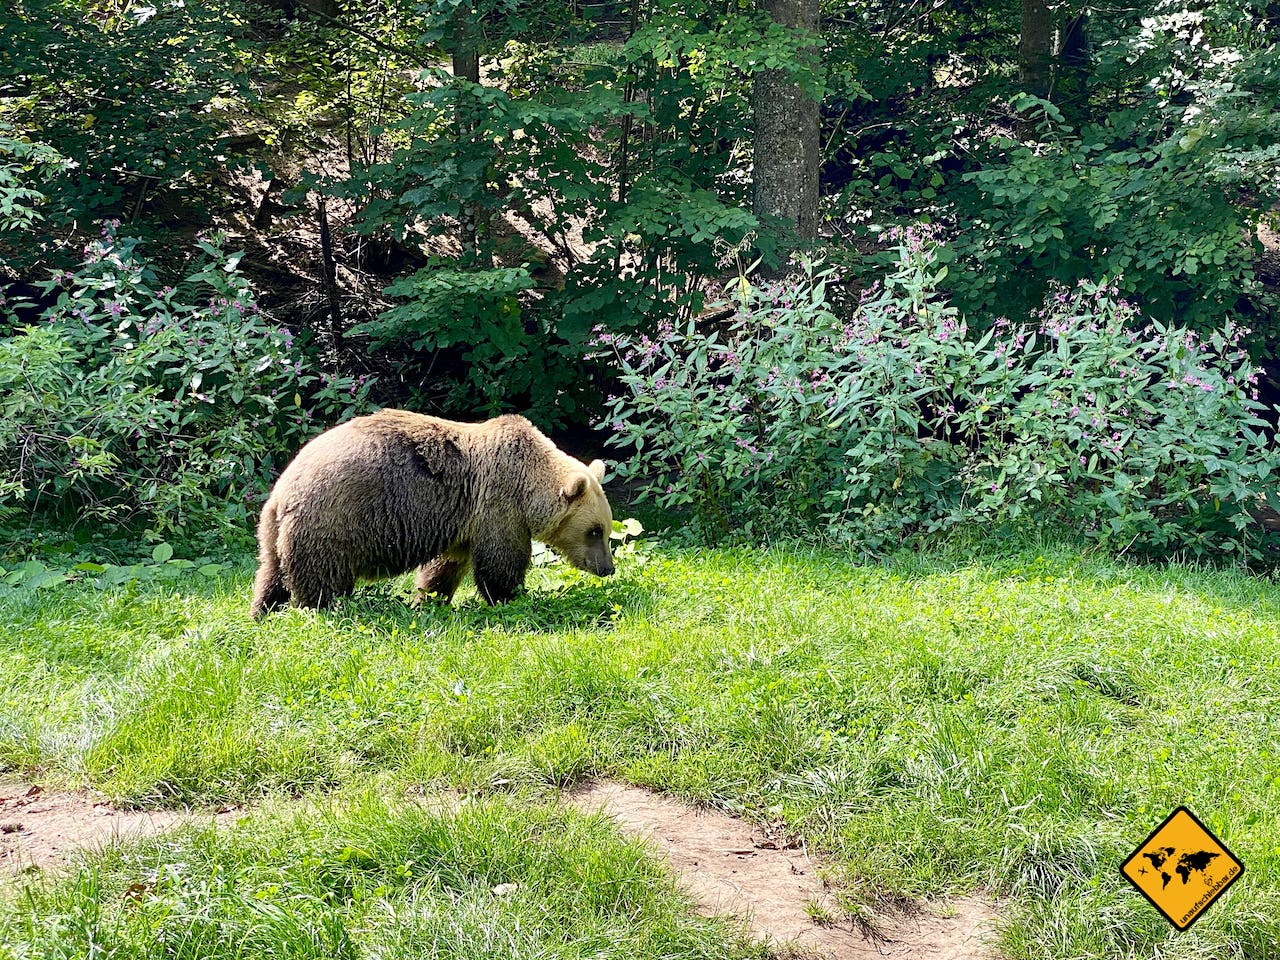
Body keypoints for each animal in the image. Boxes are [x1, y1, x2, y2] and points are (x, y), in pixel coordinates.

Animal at [248, 407, 614, 616]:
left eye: (607, 531)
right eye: (594, 531)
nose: (607, 568)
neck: (529, 482)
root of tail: (283, 490)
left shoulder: (463, 521)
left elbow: (445, 566)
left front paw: (428, 599)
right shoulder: (498, 507)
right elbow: (500, 564)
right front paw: (512, 598)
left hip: (275, 532)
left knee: (271, 574)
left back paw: (262, 612)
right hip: (332, 520)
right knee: (320, 581)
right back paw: (319, 610)